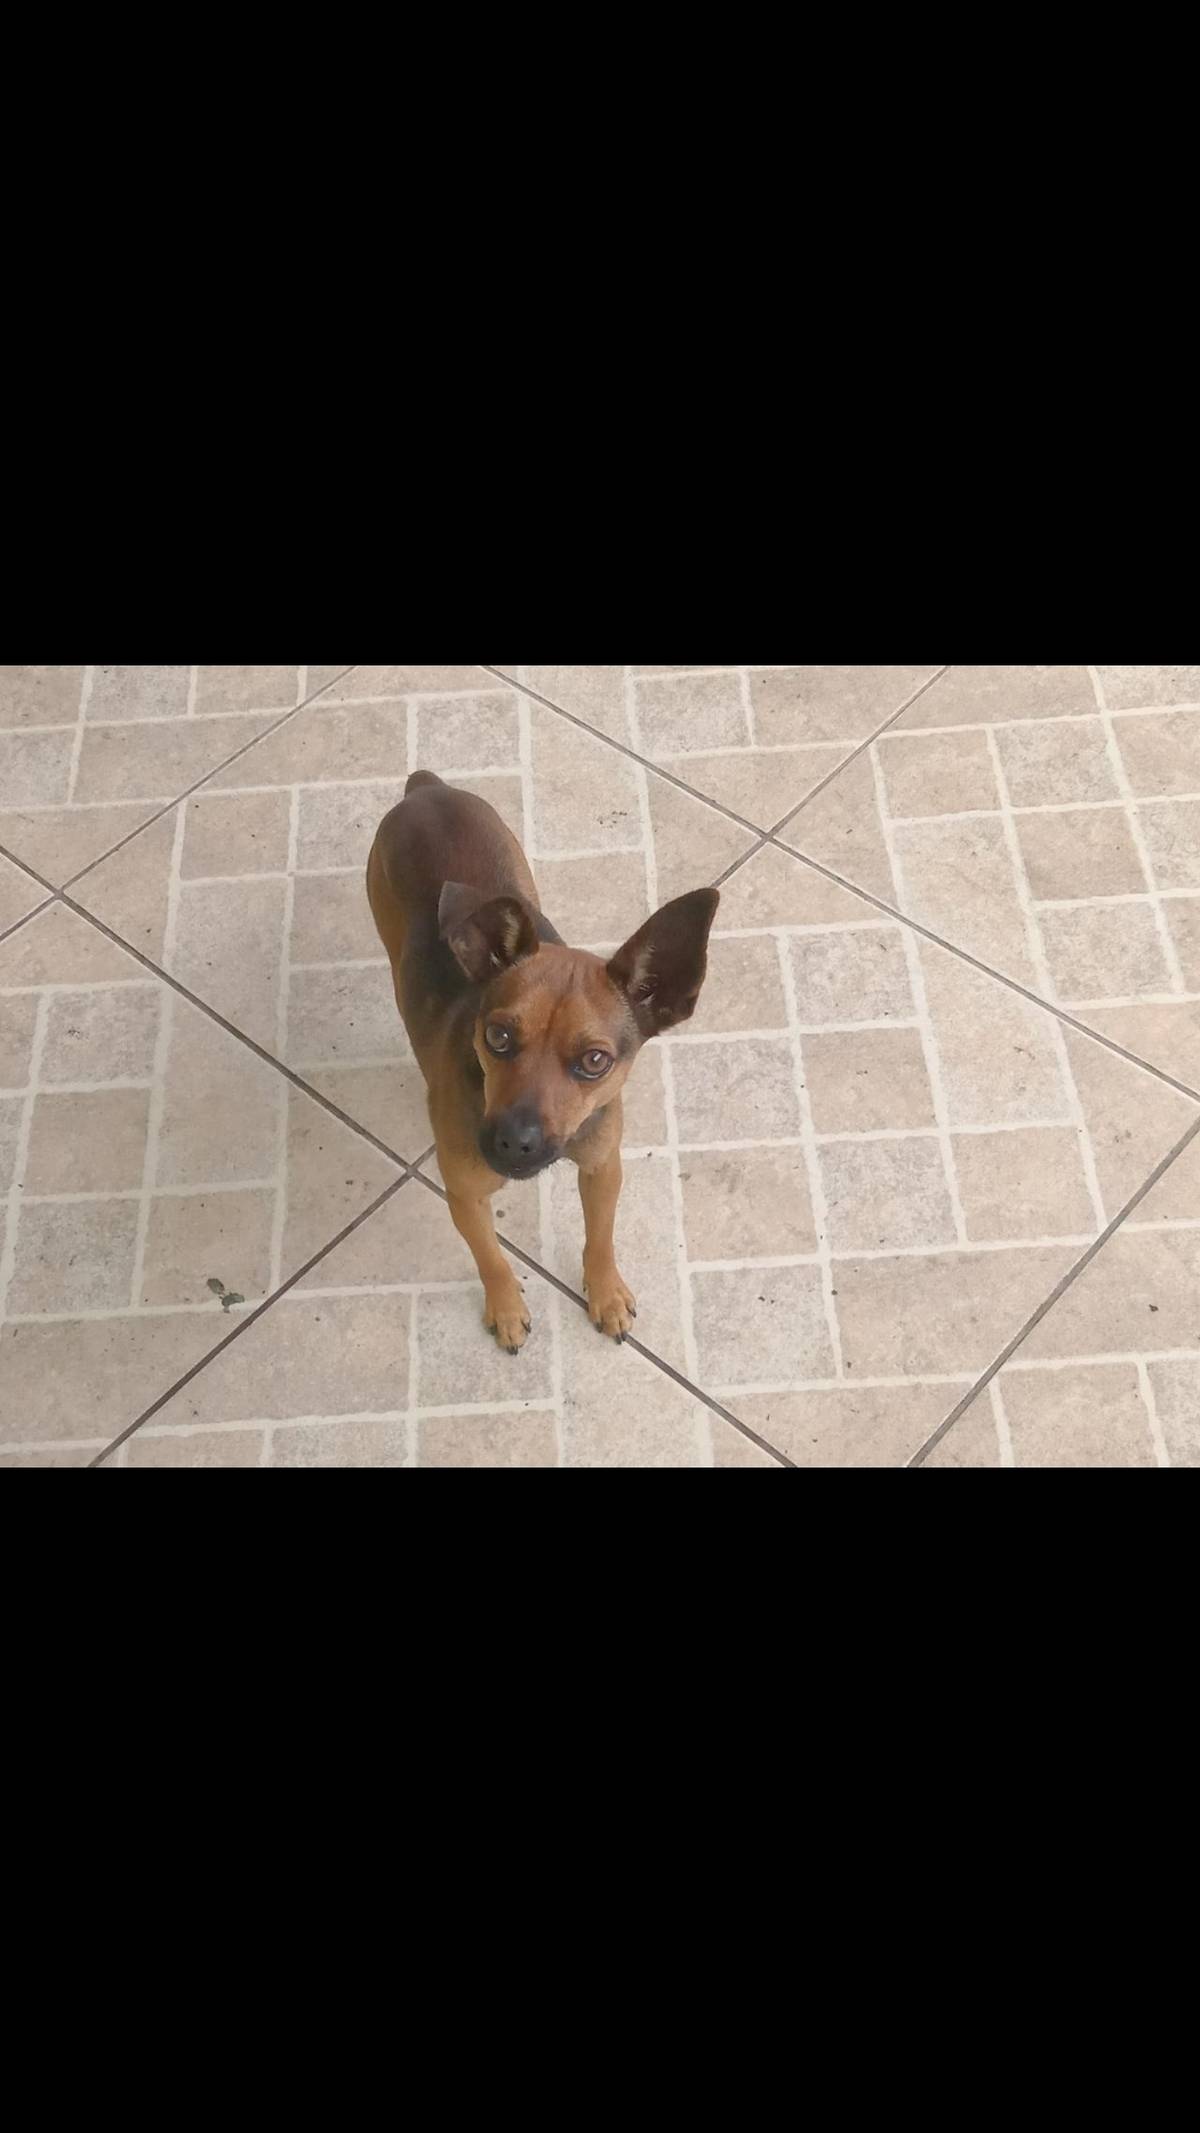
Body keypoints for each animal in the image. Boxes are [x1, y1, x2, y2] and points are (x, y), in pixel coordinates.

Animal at [367, 771, 718, 1351]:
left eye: (595, 1060)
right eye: (498, 1036)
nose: (515, 1142)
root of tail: (426, 790)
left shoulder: (602, 1166)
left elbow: (601, 1238)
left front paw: (605, 1292)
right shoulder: (465, 1196)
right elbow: (491, 1259)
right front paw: (506, 1308)